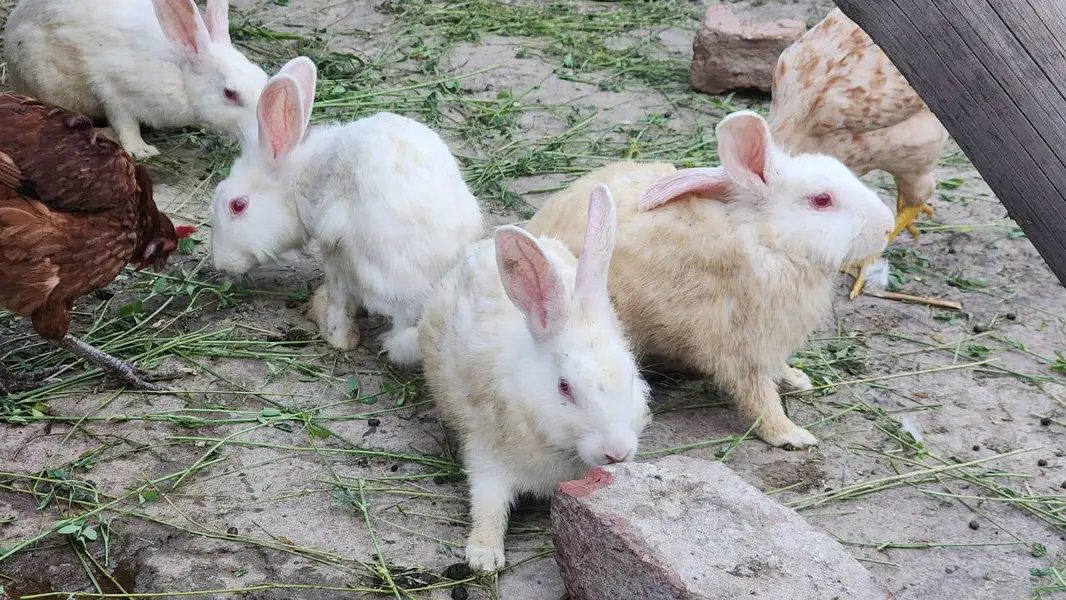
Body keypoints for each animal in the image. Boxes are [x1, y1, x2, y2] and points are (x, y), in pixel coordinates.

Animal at [3, 0, 269, 159]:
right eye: (230, 94)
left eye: (263, 76)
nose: (261, 130)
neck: (179, 72)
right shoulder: (112, 87)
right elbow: (125, 122)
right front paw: (141, 150)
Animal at [418, 183, 653, 571]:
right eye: (565, 387)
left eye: (632, 377)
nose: (617, 452)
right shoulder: (486, 456)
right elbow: (488, 505)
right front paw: (484, 557)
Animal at [525, 110, 895, 451]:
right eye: (822, 200)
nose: (888, 225)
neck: (766, 240)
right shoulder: (741, 348)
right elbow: (759, 397)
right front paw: (791, 435)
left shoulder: (769, 344)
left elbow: (777, 372)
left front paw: (798, 380)